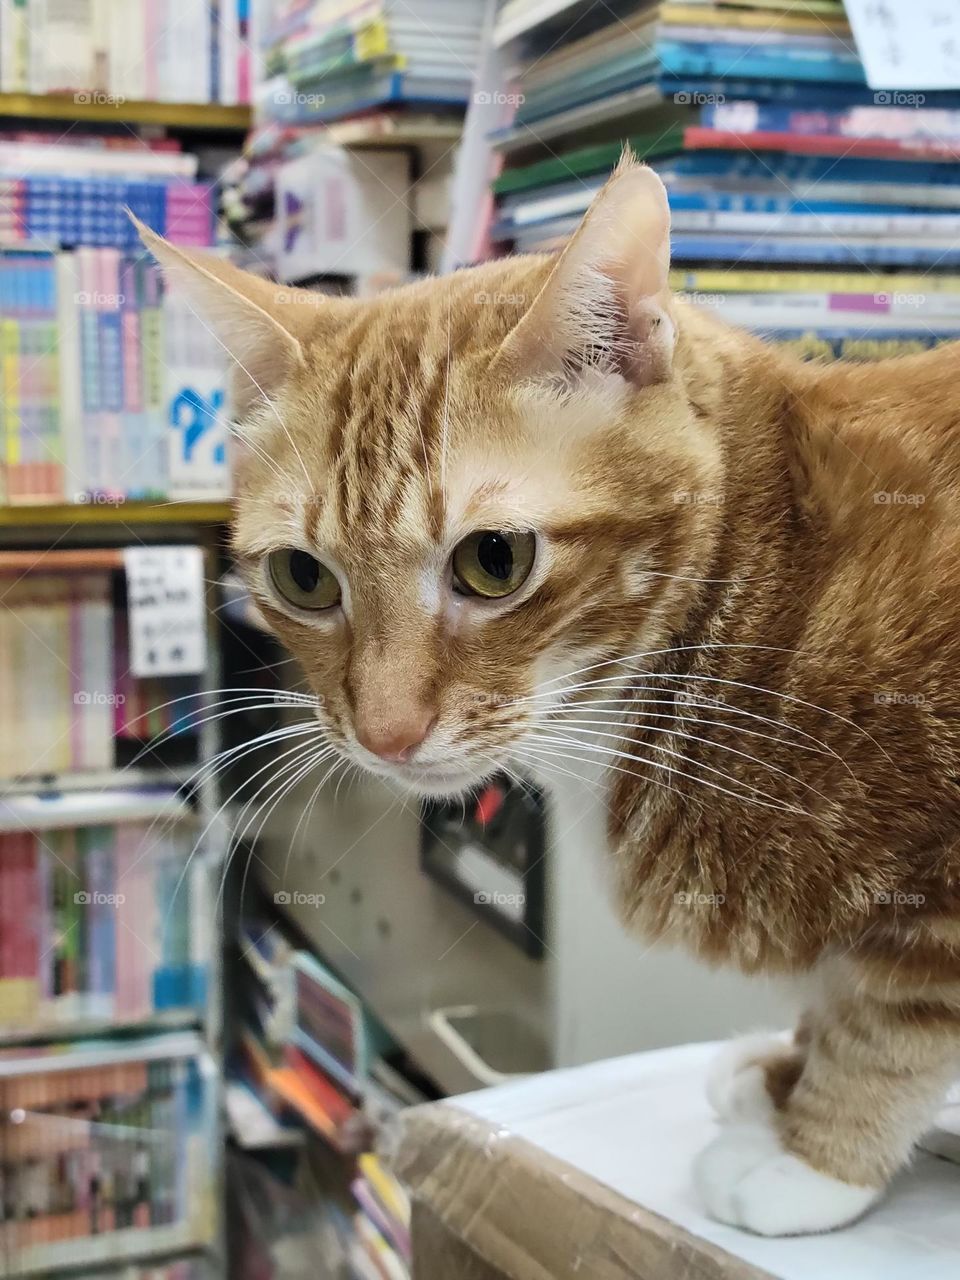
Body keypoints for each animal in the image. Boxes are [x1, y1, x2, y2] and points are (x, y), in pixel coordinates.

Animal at [138, 152, 960, 1239]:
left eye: (495, 560)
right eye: (303, 578)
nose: (385, 735)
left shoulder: (939, 893)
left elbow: (890, 1018)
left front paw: (818, 1155)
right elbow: (843, 999)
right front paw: (785, 1080)